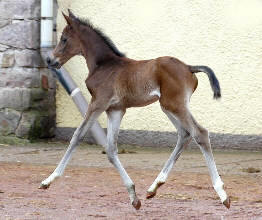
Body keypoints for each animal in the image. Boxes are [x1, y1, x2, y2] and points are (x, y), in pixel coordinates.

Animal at [42, 10, 229, 210]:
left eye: (64, 39)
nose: (50, 59)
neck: (104, 65)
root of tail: (189, 67)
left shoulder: (98, 103)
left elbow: (77, 135)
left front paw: (49, 180)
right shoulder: (115, 109)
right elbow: (110, 149)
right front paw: (133, 196)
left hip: (175, 105)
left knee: (199, 133)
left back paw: (222, 194)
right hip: (167, 106)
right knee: (185, 134)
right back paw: (154, 187)